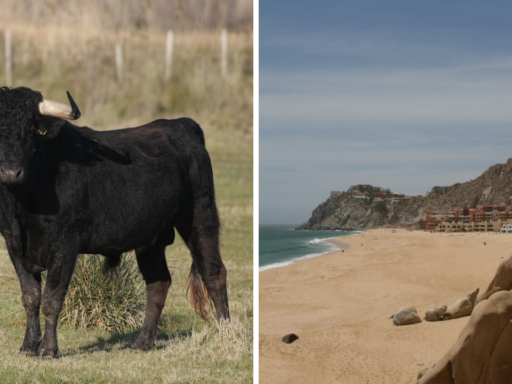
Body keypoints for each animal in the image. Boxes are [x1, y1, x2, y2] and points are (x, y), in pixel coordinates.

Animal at [0, 87, 230, 356]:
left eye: (31, 130)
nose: (10, 173)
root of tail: (182, 124)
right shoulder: (14, 244)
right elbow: (30, 297)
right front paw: (27, 346)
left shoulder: (65, 244)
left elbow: (51, 299)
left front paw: (48, 349)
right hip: (152, 239)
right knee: (158, 283)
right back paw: (142, 342)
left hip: (200, 218)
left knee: (214, 273)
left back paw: (228, 336)